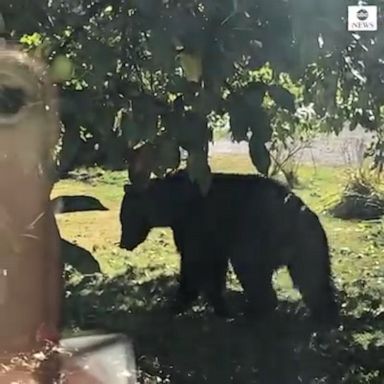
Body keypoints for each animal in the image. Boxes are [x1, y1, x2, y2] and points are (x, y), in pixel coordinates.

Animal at [119, 170, 340, 322]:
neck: (173, 207)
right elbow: (214, 271)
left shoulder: (196, 227)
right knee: (313, 278)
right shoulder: (213, 239)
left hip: (259, 235)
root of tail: (309, 216)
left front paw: (177, 303)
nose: (123, 243)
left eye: (124, 217)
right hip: (304, 247)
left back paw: (252, 313)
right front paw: (219, 307)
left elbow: (193, 264)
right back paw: (325, 315)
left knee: (253, 272)